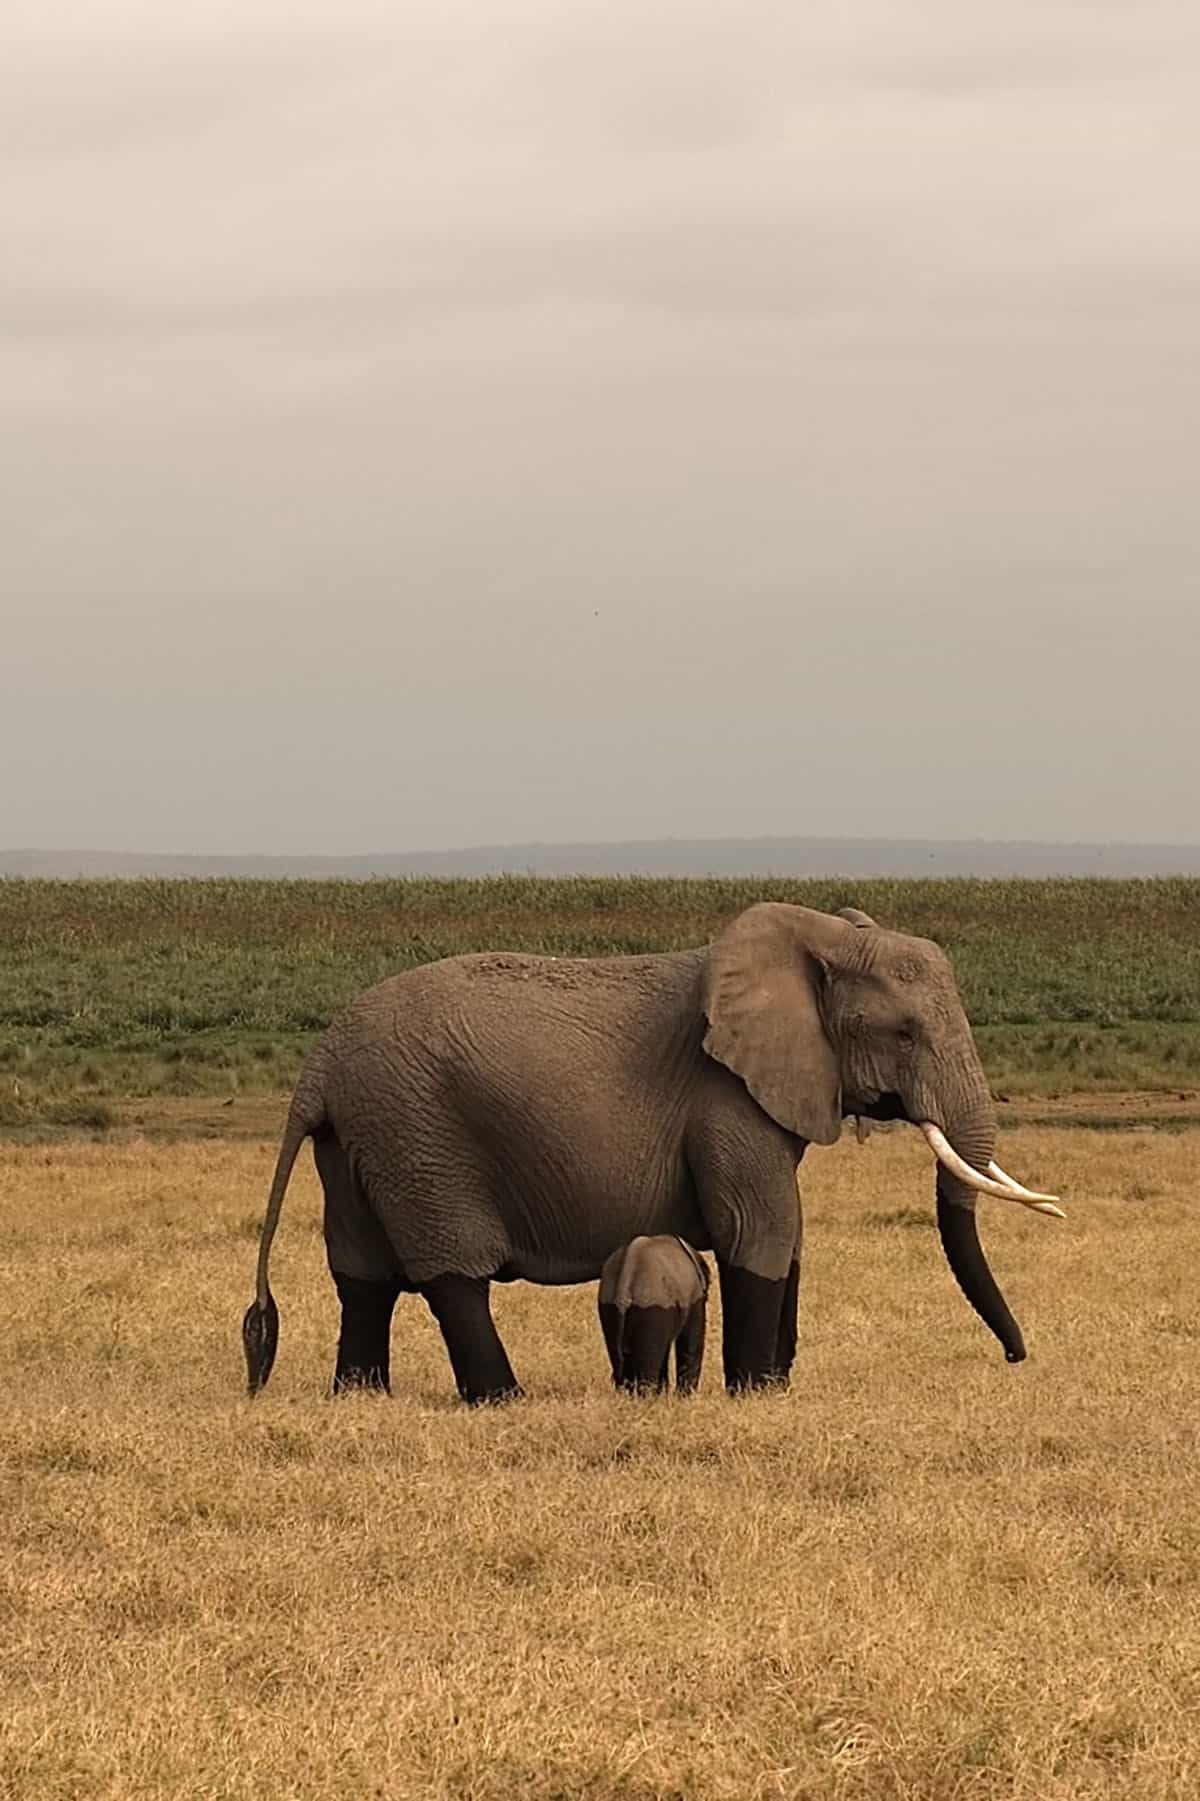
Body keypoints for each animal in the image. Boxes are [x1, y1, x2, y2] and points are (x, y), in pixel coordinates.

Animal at [598, 1235, 710, 1395]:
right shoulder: (694, 1298)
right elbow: (690, 1344)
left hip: (609, 1307)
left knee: (621, 1364)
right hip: (652, 1309)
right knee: (648, 1368)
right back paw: (649, 1397)